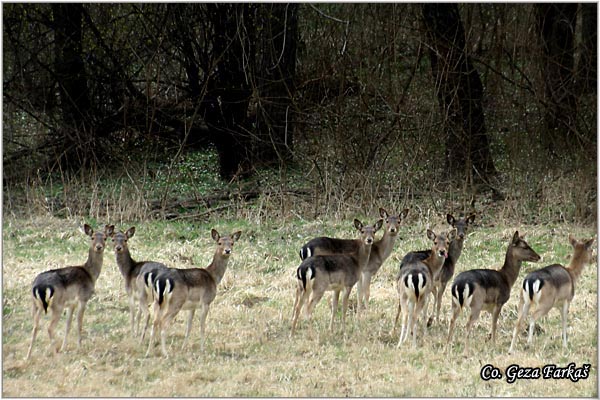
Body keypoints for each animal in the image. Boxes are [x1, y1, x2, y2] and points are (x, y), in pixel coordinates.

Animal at [25, 225, 113, 360]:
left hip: (36, 305)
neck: (91, 275)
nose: (99, 247)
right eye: (92, 237)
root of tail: (39, 287)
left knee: (35, 327)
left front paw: (64, 347)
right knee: (49, 328)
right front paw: (79, 347)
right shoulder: (83, 298)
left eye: (105, 237)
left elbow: (68, 325)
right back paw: (56, 355)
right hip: (57, 305)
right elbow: (79, 323)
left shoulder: (71, 304)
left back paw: (28, 356)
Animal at [145, 230, 241, 358]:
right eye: (219, 243)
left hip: (158, 301)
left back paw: (148, 352)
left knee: (155, 322)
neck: (213, 277)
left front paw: (183, 347)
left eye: (232, 243)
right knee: (163, 322)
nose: (227, 250)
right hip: (176, 302)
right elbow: (202, 326)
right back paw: (165, 353)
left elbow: (188, 327)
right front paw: (202, 349)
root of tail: (161, 280)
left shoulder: (192, 306)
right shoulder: (206, 301)